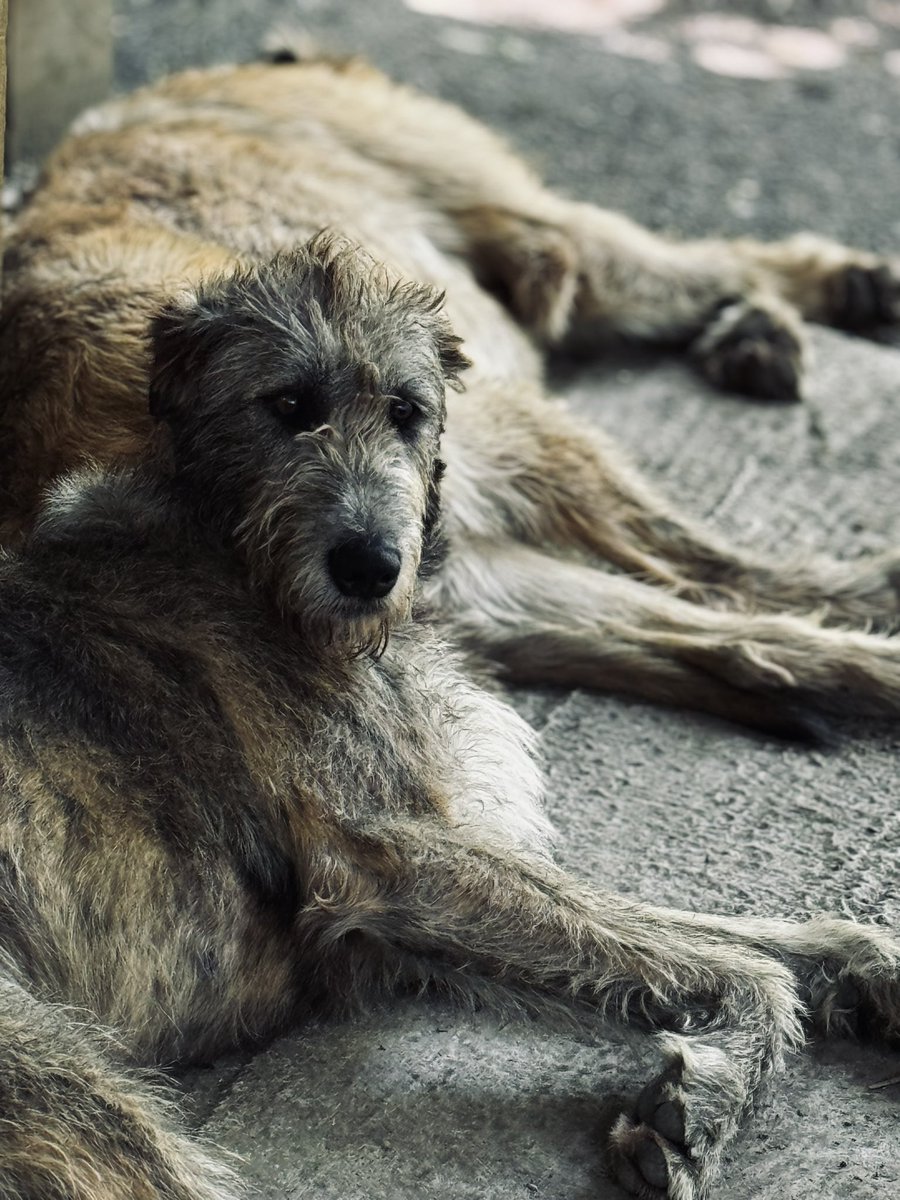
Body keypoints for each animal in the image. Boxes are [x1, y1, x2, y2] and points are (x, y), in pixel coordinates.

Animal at [0, 236, 897, 1200]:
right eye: (287, 405)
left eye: (406, 410)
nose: (371, 566)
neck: (235, 558)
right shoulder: (388, 855)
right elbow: (738, 962)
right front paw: (710, 1090)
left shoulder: (387, 932)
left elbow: (716, 933)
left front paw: (864, 964)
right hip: (53, 1074)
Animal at [5, 54, 900, 739]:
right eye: (285, 409)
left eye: (405, 413)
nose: (368, 568)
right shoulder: (474, 586)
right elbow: (730, 632)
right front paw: (849, 663)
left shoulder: (511, 440)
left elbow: (710, 560)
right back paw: (757, 333)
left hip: (530, 227)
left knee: (713, 261)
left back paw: (833, 292)